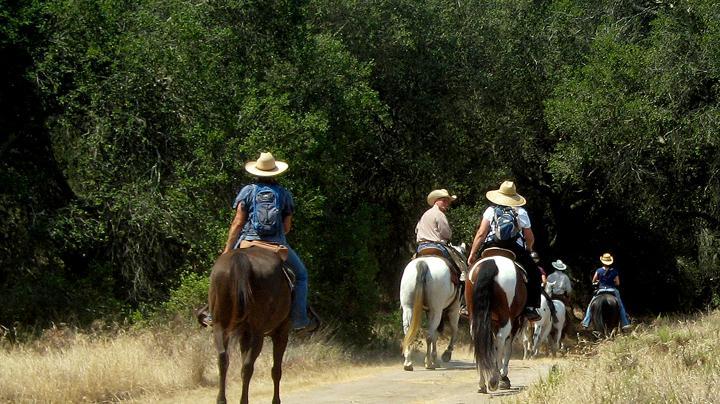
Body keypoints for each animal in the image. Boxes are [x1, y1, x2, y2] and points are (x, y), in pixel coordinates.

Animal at [207, 246, 292, 404]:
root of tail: (240, 259)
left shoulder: (244, 335)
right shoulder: (282, 332)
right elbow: (276, 370)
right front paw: (276, 400)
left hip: (220, 326)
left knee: (223, 359)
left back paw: (222, 399)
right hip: (258, 333)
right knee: (248, 367)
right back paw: (243, 400)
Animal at [396, 241, 464, 370]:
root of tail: (423, 264)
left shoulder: (428, 311)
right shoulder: (454, 308)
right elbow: (454, 329)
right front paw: (445, 354)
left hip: (408, 308)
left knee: (409, 332)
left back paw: (408, 363)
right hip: (437, 310)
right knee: (430, 335)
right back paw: (428, 363)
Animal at [464, 251, 524, 392]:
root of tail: (491, 263)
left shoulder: (492, 323)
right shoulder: (515, 322)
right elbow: (507, 348)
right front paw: (504, 377)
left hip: (475, 316)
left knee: (478, 339)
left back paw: (482, 383)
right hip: (506, 317)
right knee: (501, 339)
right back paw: (494, 379)